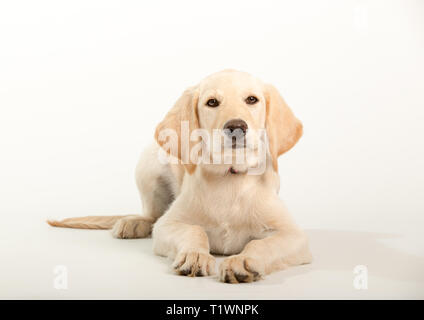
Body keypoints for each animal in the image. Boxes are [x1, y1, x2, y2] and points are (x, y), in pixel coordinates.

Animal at [48, 69, 314, 282]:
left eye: (252, 100)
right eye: (212, 102)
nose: (236, 127)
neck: (229, 176)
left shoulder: (294, 236)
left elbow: (262, 243)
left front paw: (243, 261)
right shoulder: (169, 225)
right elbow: (192, 230)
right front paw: (195, 255)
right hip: (148, 165)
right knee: (152, 215)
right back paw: (134, 222)